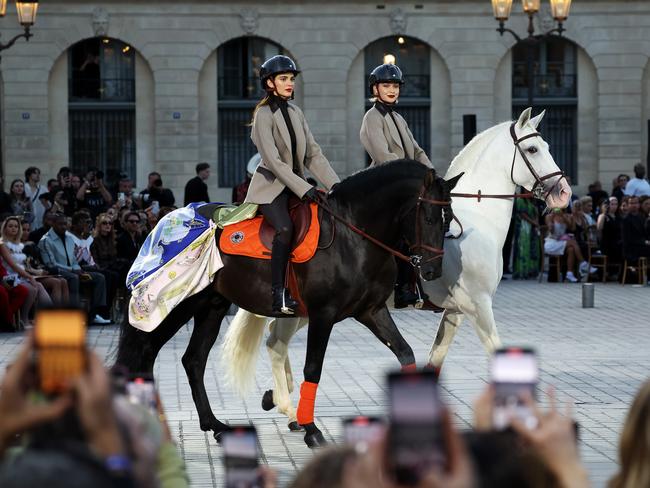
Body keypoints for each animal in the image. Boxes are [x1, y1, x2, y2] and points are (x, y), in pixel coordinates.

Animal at [117, 159, 460, 446]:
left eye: (449, 221)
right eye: (430, 217)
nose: (432, 271)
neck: (353, 237)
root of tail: (168, 220)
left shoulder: (371, 311)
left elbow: (405, 353)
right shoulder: (323, 314)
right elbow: (313, 368)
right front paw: (311, 429)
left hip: (211, 307)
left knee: (193, 360)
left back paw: (215, 425)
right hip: (176, 306)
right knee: (146, 352)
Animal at [220, 108, 568, 428]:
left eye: (548, 145)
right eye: (533, 149)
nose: (563, 193)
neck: (477, 222)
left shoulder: (456, 310)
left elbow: (435, 359)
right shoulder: (478, 305)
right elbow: (496, 351)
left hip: (307, 310)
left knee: (275, 340)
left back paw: (282, 403)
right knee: (275, 341)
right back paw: (289, 407)